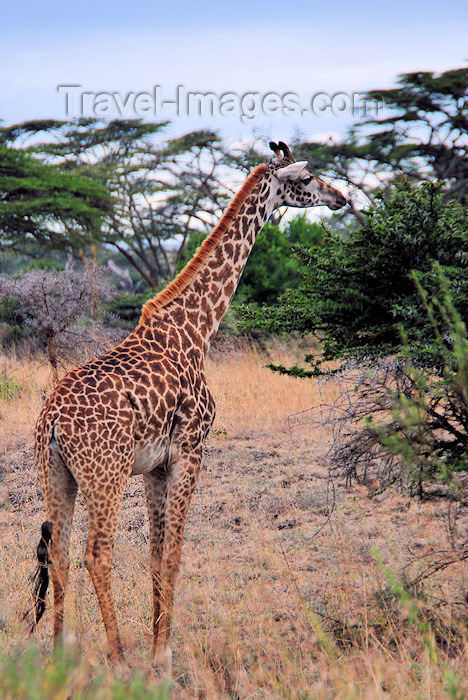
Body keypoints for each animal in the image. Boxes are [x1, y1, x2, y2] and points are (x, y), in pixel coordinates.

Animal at [27, 139, 346, 668]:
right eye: (307, 179)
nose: (341, 198)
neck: (198, 330)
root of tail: (51, 420)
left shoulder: (155, 465)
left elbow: (156, 556)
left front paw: (160, 646)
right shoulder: (190, 450)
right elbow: (175, 554)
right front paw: (163, 657)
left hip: (56, 474)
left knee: (61, 554)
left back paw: (60, 658)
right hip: (105, 474)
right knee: (97, 553)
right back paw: (118, 657)